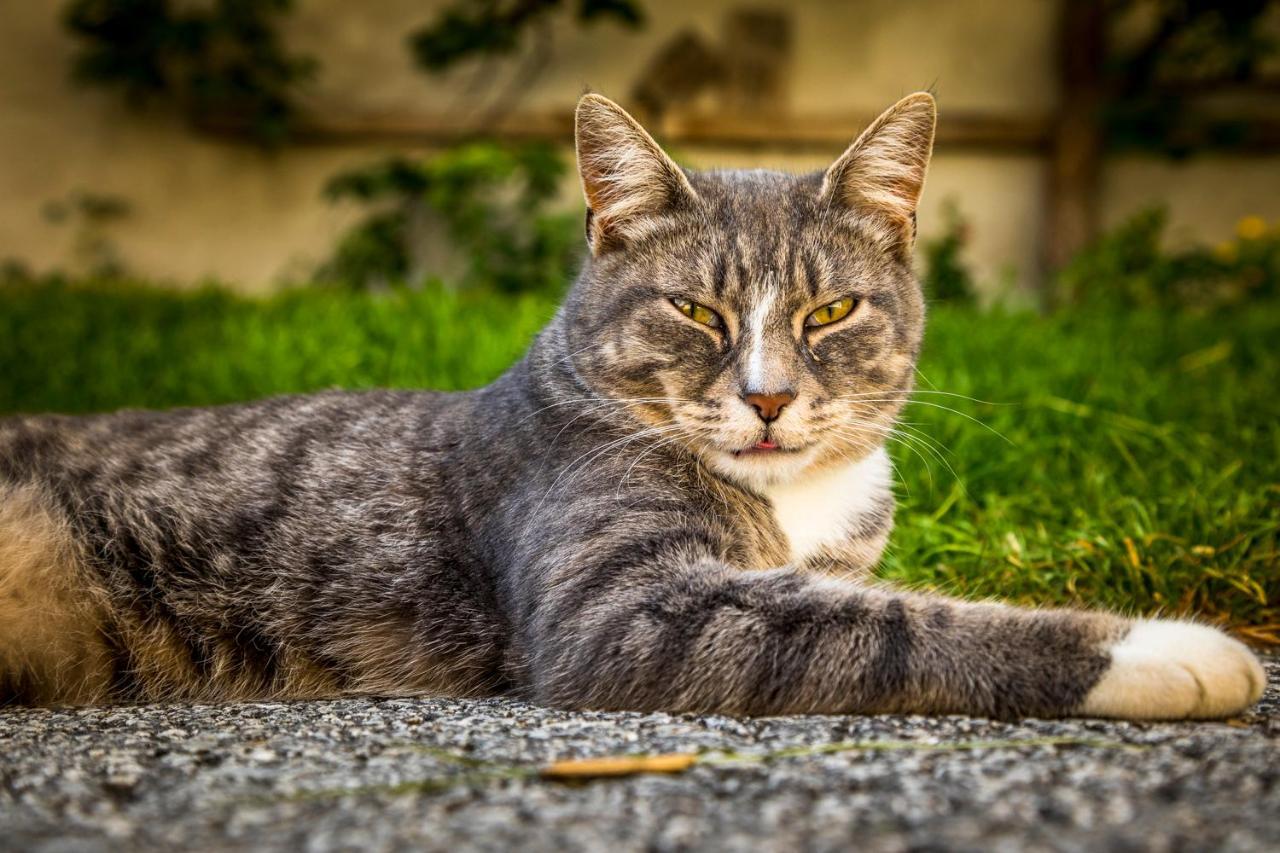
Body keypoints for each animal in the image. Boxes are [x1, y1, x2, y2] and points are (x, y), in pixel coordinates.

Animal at [0, 92, 1264, 712]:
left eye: (827, 313)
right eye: (697, 312)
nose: (766, 398)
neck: (791, 503)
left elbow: (862, 593)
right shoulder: (623, 608)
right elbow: (888, 623)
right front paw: (1165, 649)